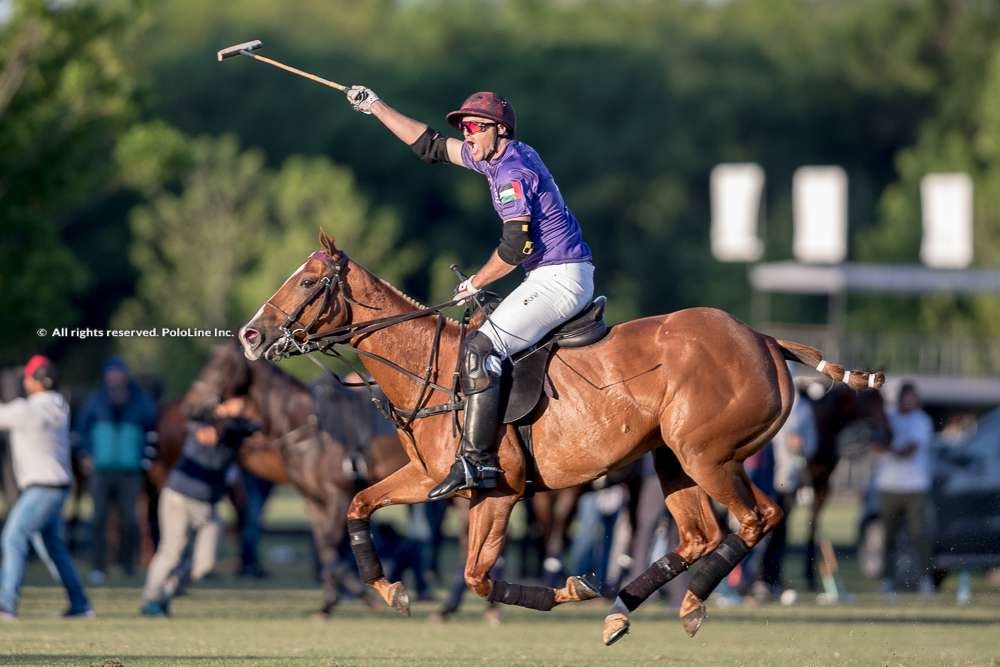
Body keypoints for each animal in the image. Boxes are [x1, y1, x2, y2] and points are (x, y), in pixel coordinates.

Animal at [238, 234, 880, 640]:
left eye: (309, 281)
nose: (250, 334)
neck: (430, 367)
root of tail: (767, 341)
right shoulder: (436, 480)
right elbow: (360, 505)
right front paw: (388, 589)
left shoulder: (498, 489)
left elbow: (477, 575)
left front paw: (569, 589)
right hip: (675, 460)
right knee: (702, 534)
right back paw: (622, 608)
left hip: (708, 455)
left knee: (757, 518)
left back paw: (690, 602)